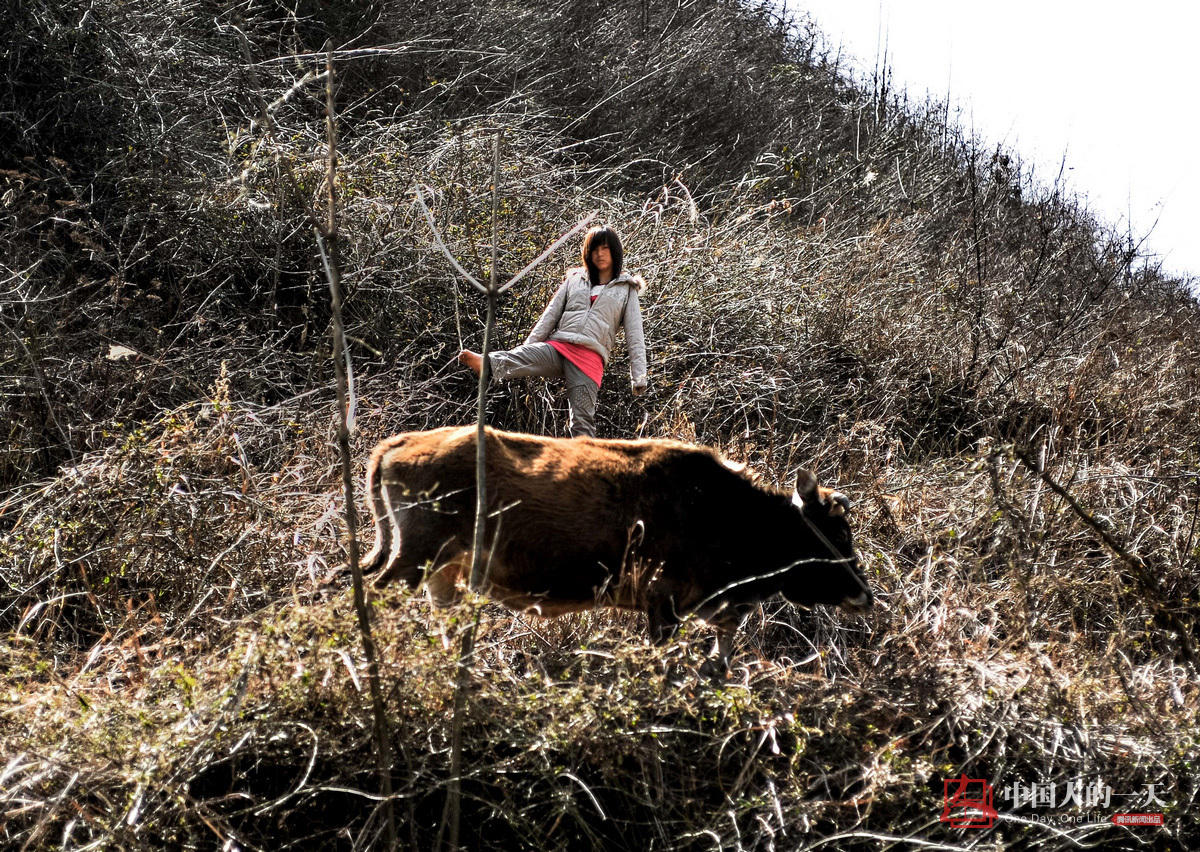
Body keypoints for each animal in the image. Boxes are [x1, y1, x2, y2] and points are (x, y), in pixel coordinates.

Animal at [360, 427, 868, 667]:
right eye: (836, 534)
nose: (865, 594)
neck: (723, 511)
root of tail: (402, 442)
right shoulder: (664, 606)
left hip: (442, 569)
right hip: (412, 558)